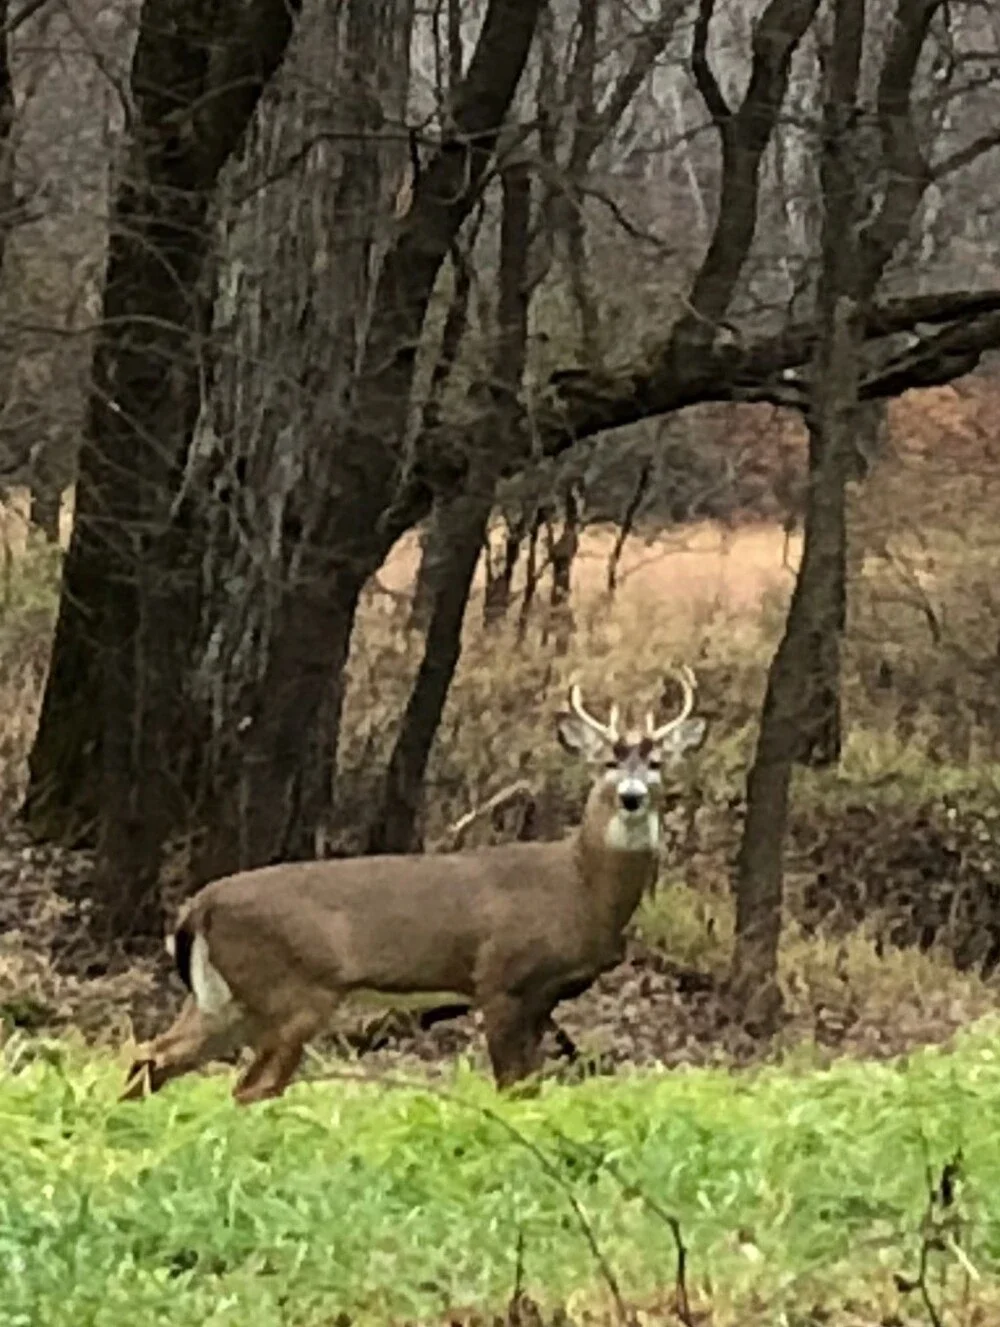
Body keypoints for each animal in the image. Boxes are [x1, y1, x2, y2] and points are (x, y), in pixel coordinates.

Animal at [120, 667, 706, 1106]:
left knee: (153, 1057)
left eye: (657, 762)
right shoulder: (498, 977)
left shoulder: (546, 995)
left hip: (225, 999)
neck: (579, 886)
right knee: (250, 1086)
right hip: (292, 990)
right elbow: (510, 1087)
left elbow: (531, 1086)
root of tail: (198, 905)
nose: (632, 796)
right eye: (607, 761)